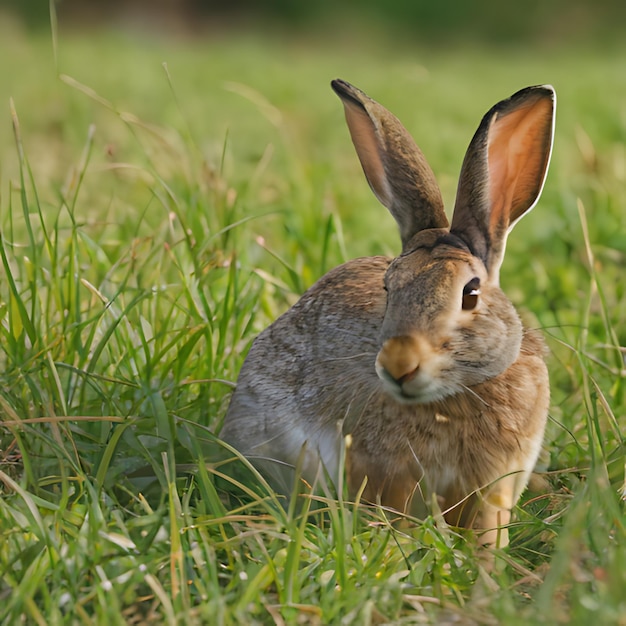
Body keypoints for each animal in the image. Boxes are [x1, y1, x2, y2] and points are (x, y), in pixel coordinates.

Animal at [221, 79, 556, 544]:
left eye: (470, 293)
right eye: (387, 287)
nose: (399, 364)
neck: (456, 392)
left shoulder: (495, 484)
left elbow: (488, 526)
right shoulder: (386, 472)